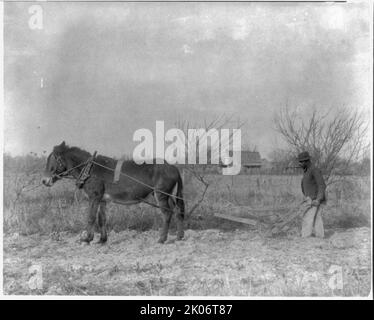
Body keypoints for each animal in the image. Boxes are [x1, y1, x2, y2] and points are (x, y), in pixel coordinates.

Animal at [41, 141, 186, 244]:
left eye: (52, 161)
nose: (44, 181)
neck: (89, 169)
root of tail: (173, 167)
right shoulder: (103, 200)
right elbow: (102, 219)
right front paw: (102, 240)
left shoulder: (94, 197)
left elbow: (91, 217)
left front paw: (87, 239)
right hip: (169, 195)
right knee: (177, 211)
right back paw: (179, 237)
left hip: (161, 195)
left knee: (167, 214)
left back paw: (162, 239)